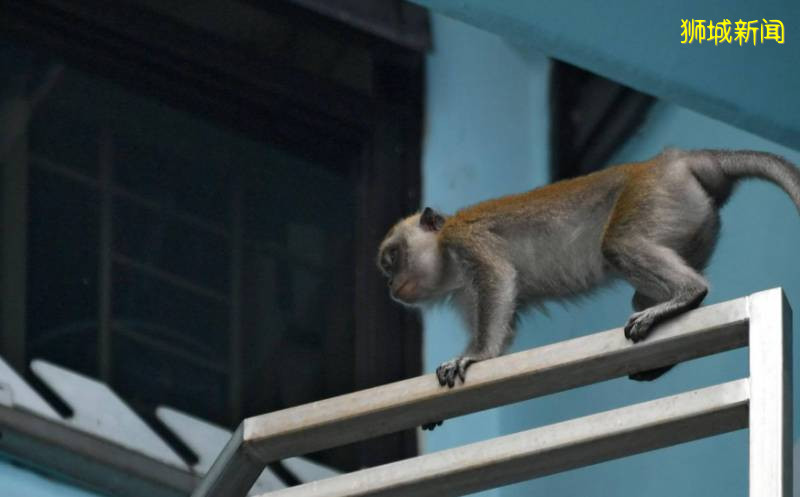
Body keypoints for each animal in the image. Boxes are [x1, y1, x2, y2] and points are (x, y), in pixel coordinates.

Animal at [376, 147, 800, 404]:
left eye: (392, 258)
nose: (390, 285)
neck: (446, 255)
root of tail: (679, 160)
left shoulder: (466, 240)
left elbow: (497, 277)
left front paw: (475, 356)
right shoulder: (465, 291)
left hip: (654, 195)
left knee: (617, 244)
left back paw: (686, 293)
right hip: (694, 224)